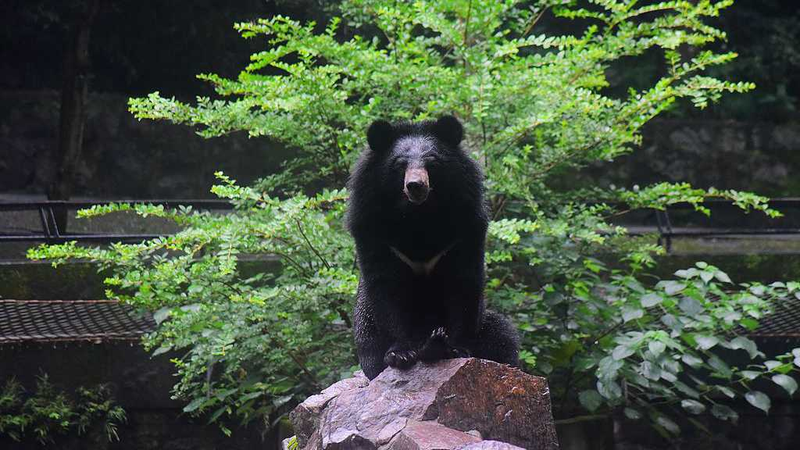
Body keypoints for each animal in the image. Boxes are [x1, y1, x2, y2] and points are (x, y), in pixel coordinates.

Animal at [346, 115, 520, 380]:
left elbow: (464, 282)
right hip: (365, 326)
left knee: (503, 336)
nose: (415, 185)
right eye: (400, 164)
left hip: (486, 322)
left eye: (432, 162)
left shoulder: (465, 227)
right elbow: (386, 287)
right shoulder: (373, 230)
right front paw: (400, 354)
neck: (420, 216)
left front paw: (456, 347)